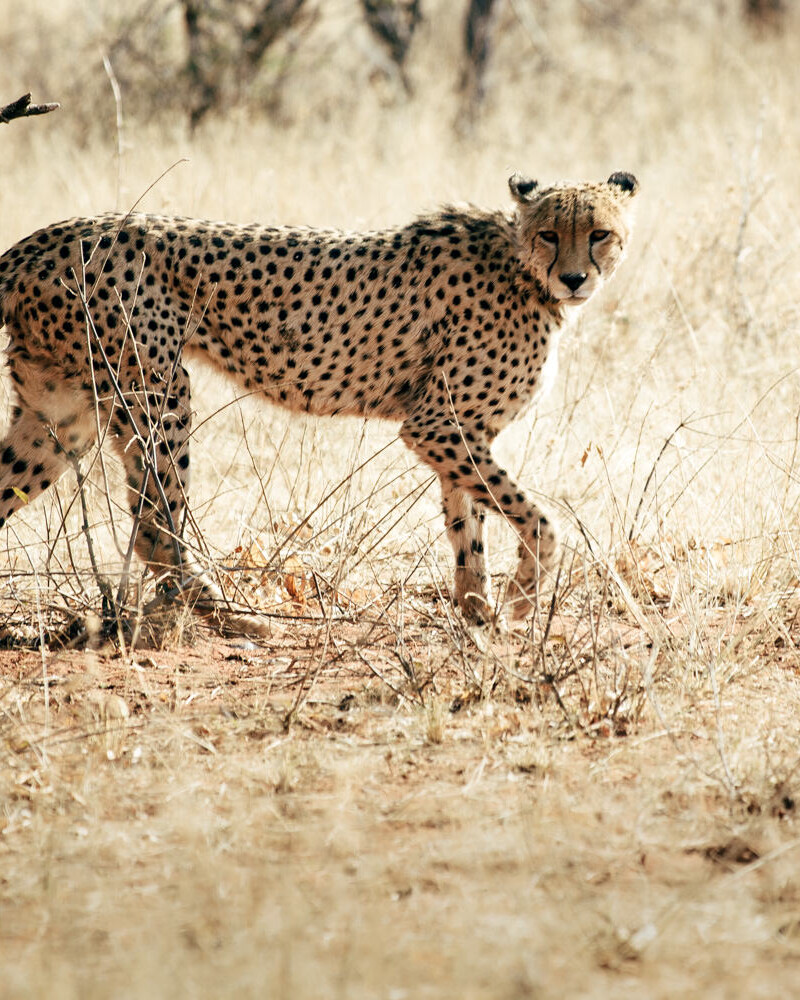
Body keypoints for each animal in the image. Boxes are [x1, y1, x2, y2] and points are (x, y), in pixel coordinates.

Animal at [0, 170, 638, 634]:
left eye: (599, 233)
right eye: (551, 234)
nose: (576, 278)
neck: (522, 267)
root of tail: (37, 241)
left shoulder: (455, 433)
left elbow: (468, 526)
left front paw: (478, 614)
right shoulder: (436, 425)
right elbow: (540, 519)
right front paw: (523, 599)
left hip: (62, 416)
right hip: (157, 386)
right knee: (156, 521)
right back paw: (228, 612)